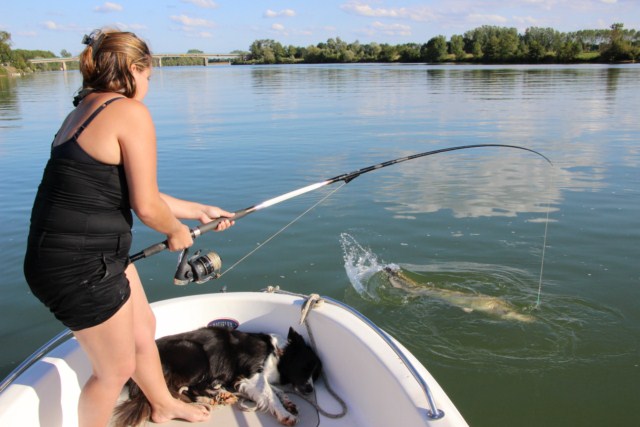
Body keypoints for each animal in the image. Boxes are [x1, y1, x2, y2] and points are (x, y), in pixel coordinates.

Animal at [112, 326, 322, 426]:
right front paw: (286, 415)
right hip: (196, 354)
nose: (310, 390)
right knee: (176, 388)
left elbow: (276, 391)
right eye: (305, 368)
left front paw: (289, 403)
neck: (278, 352)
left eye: (316, 375)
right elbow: (270, 394)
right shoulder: (250, 375)